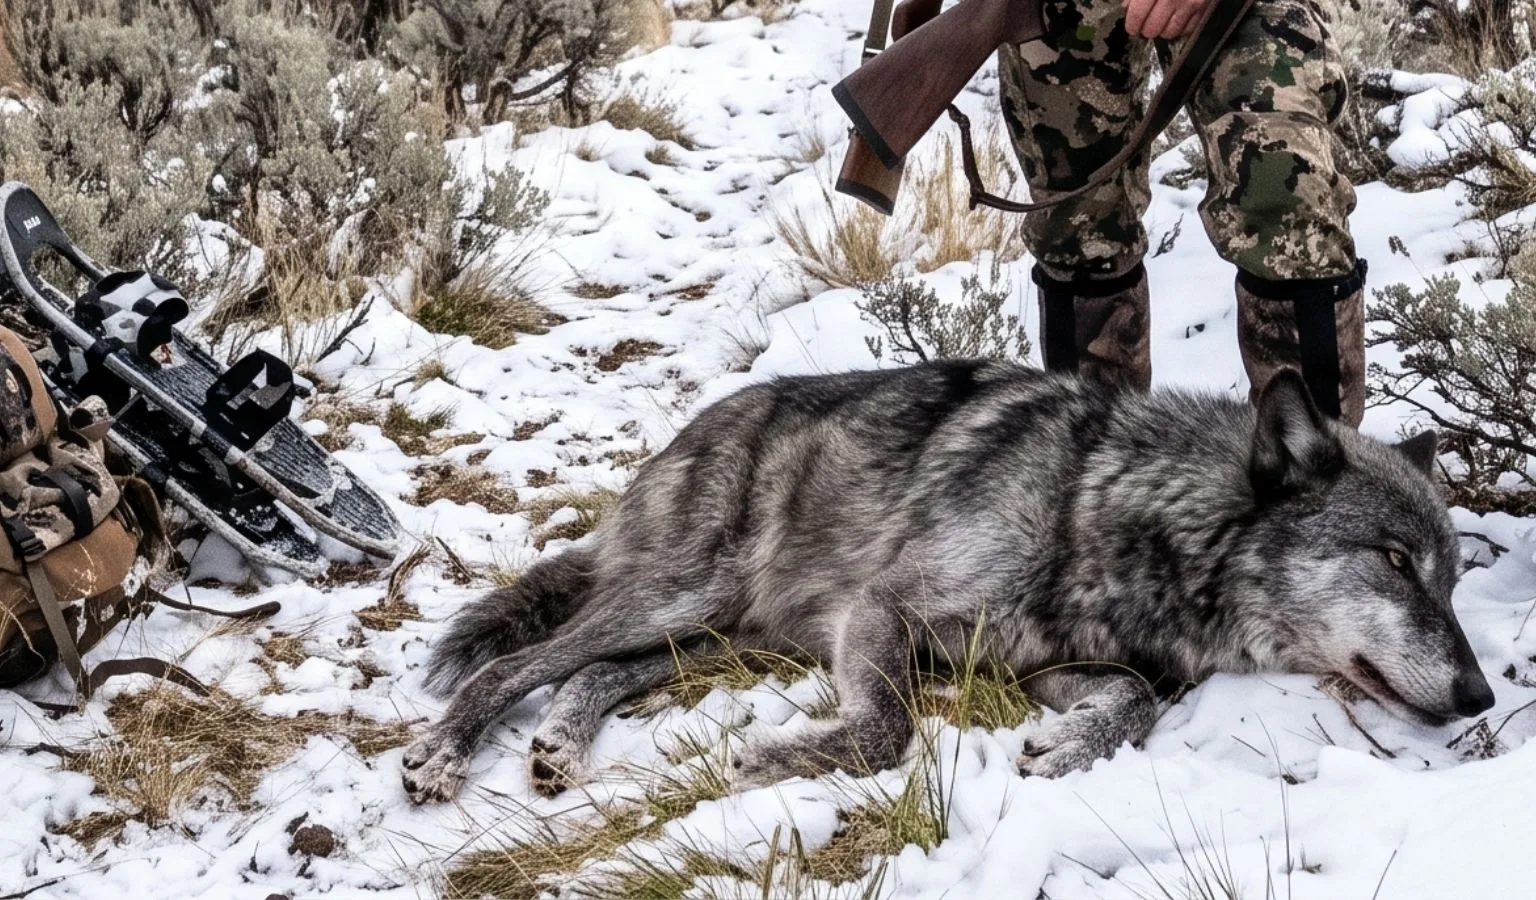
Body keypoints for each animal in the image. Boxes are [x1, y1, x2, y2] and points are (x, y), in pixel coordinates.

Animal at [402, 362, 1495, 803]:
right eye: (1395, 562)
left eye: (1450, 580)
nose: (1482, 695)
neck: (1100, 501)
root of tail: (687, 431)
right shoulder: (882, 613)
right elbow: (889, 728)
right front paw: (774, 761)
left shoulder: (1042, 663)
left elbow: (1134, 699)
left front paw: (1067, 748)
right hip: (686, 597)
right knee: (520, 663)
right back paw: (447, 753)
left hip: (717, 633)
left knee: (597, 671)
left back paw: (559, 748)